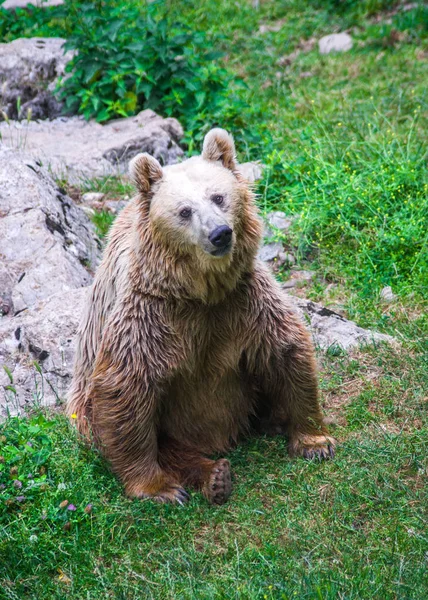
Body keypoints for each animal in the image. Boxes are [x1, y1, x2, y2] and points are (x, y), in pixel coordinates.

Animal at [67, 127, 334, 506]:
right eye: (184, 211)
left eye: (219, 197)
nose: (220, 233)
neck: (199, 290)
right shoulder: (150, 314)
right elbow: (126, 387)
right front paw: (157, 487)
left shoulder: (242, 300)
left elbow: (284, 350)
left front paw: (315, 441)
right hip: (85, 409)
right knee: (162, 442)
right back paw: (214, 475)